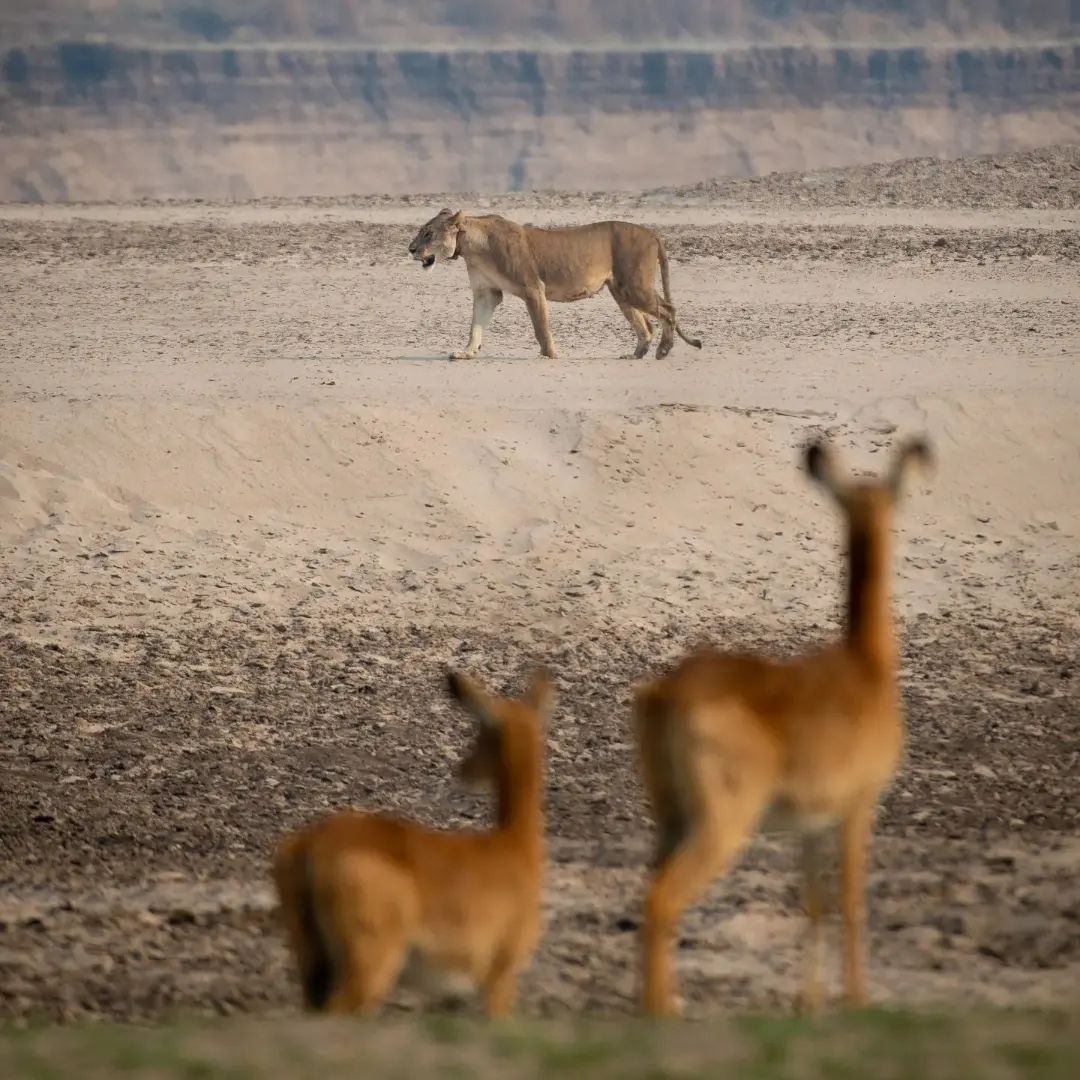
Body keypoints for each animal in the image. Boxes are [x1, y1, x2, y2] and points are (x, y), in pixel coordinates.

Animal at [274, 665, 552, 1019]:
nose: (463, 770)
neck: (514, 847)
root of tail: (307, 848)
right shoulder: (499, 977)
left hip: (312, 959)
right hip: (369, 964)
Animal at [635, 434, 933, 1015]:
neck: (866, 668)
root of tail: (668, 693)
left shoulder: (810, 824)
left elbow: (813, 904)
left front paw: (809, 1004)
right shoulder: (859, 806)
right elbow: (851, 902)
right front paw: (858, 1000)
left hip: (671, 819)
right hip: (722, 825)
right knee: (661, 900)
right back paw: (665, 1012)